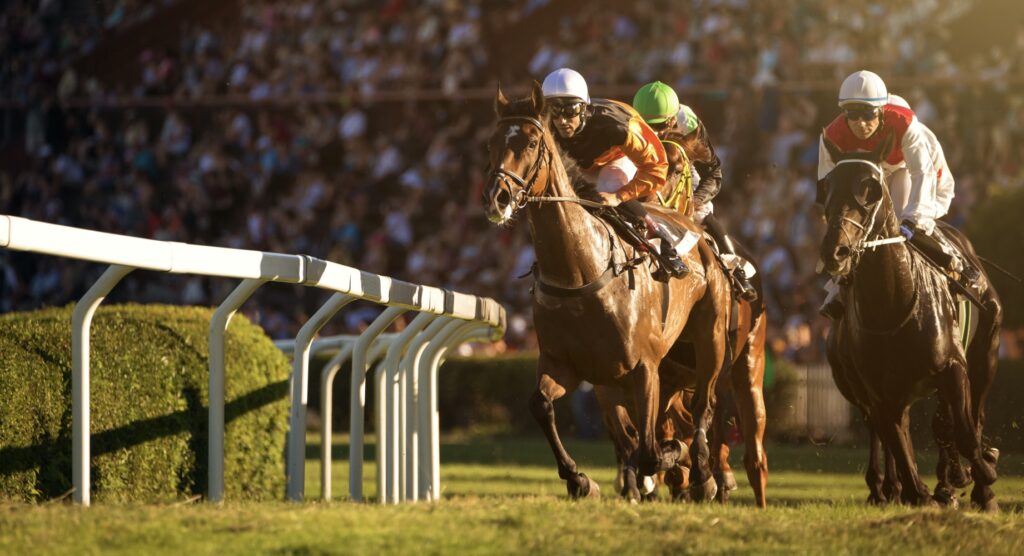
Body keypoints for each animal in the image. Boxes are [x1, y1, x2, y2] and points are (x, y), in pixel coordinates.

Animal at [483, 82, 733, 499]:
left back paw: (703, 474)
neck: (580, 272)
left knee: (703, 406)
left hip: (709, 337)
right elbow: (540, 405)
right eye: (491, 142)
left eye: (532, 142)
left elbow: (649, 452)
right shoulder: (565, 364)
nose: (497, 198)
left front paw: (673, 461)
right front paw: (579, 478)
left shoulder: (644, 368)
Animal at [819, 135, 1003, 514]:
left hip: (986, 354)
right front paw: (918, 492)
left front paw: (982, 476)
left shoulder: (953, 367)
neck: (893, 305)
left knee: (968, 418)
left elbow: (964, 431)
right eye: (825, 187)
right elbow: (898, 440)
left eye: (870, 189)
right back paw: (893, 487)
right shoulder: (878, 392)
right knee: (895, 429)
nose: (836, 251)